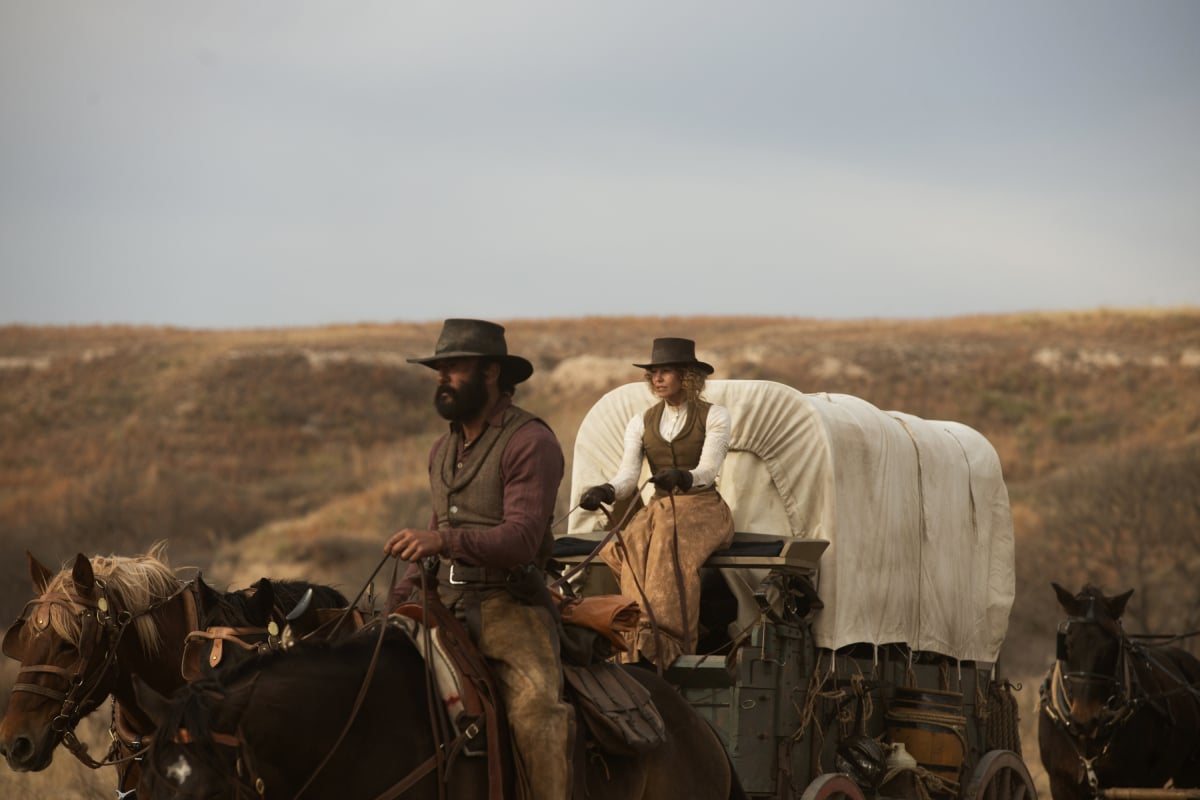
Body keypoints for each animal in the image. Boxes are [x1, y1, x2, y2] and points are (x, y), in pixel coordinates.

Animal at [1036, 582, 1200, 800]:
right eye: (1067, 645)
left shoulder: (1131, 784)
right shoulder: (1060, 784)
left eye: (1111, 647)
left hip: (1190, 772)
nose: (1084, 719)